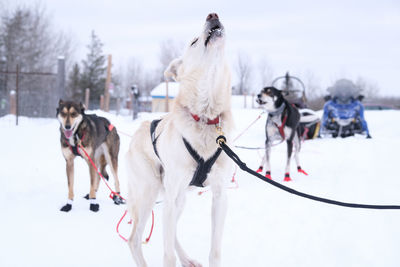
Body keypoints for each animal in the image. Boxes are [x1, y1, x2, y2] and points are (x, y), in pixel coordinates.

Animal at [126, 13, 234, 267]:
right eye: (194, 41)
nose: (212, 15)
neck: (205, 117)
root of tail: (138, 132)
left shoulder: (220, 197)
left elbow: (215, 251)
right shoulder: (171, 195)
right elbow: (167, 255)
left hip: (178, 199)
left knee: (170, 229)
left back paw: (186, 258)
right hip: (150, 194)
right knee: (135, 239)